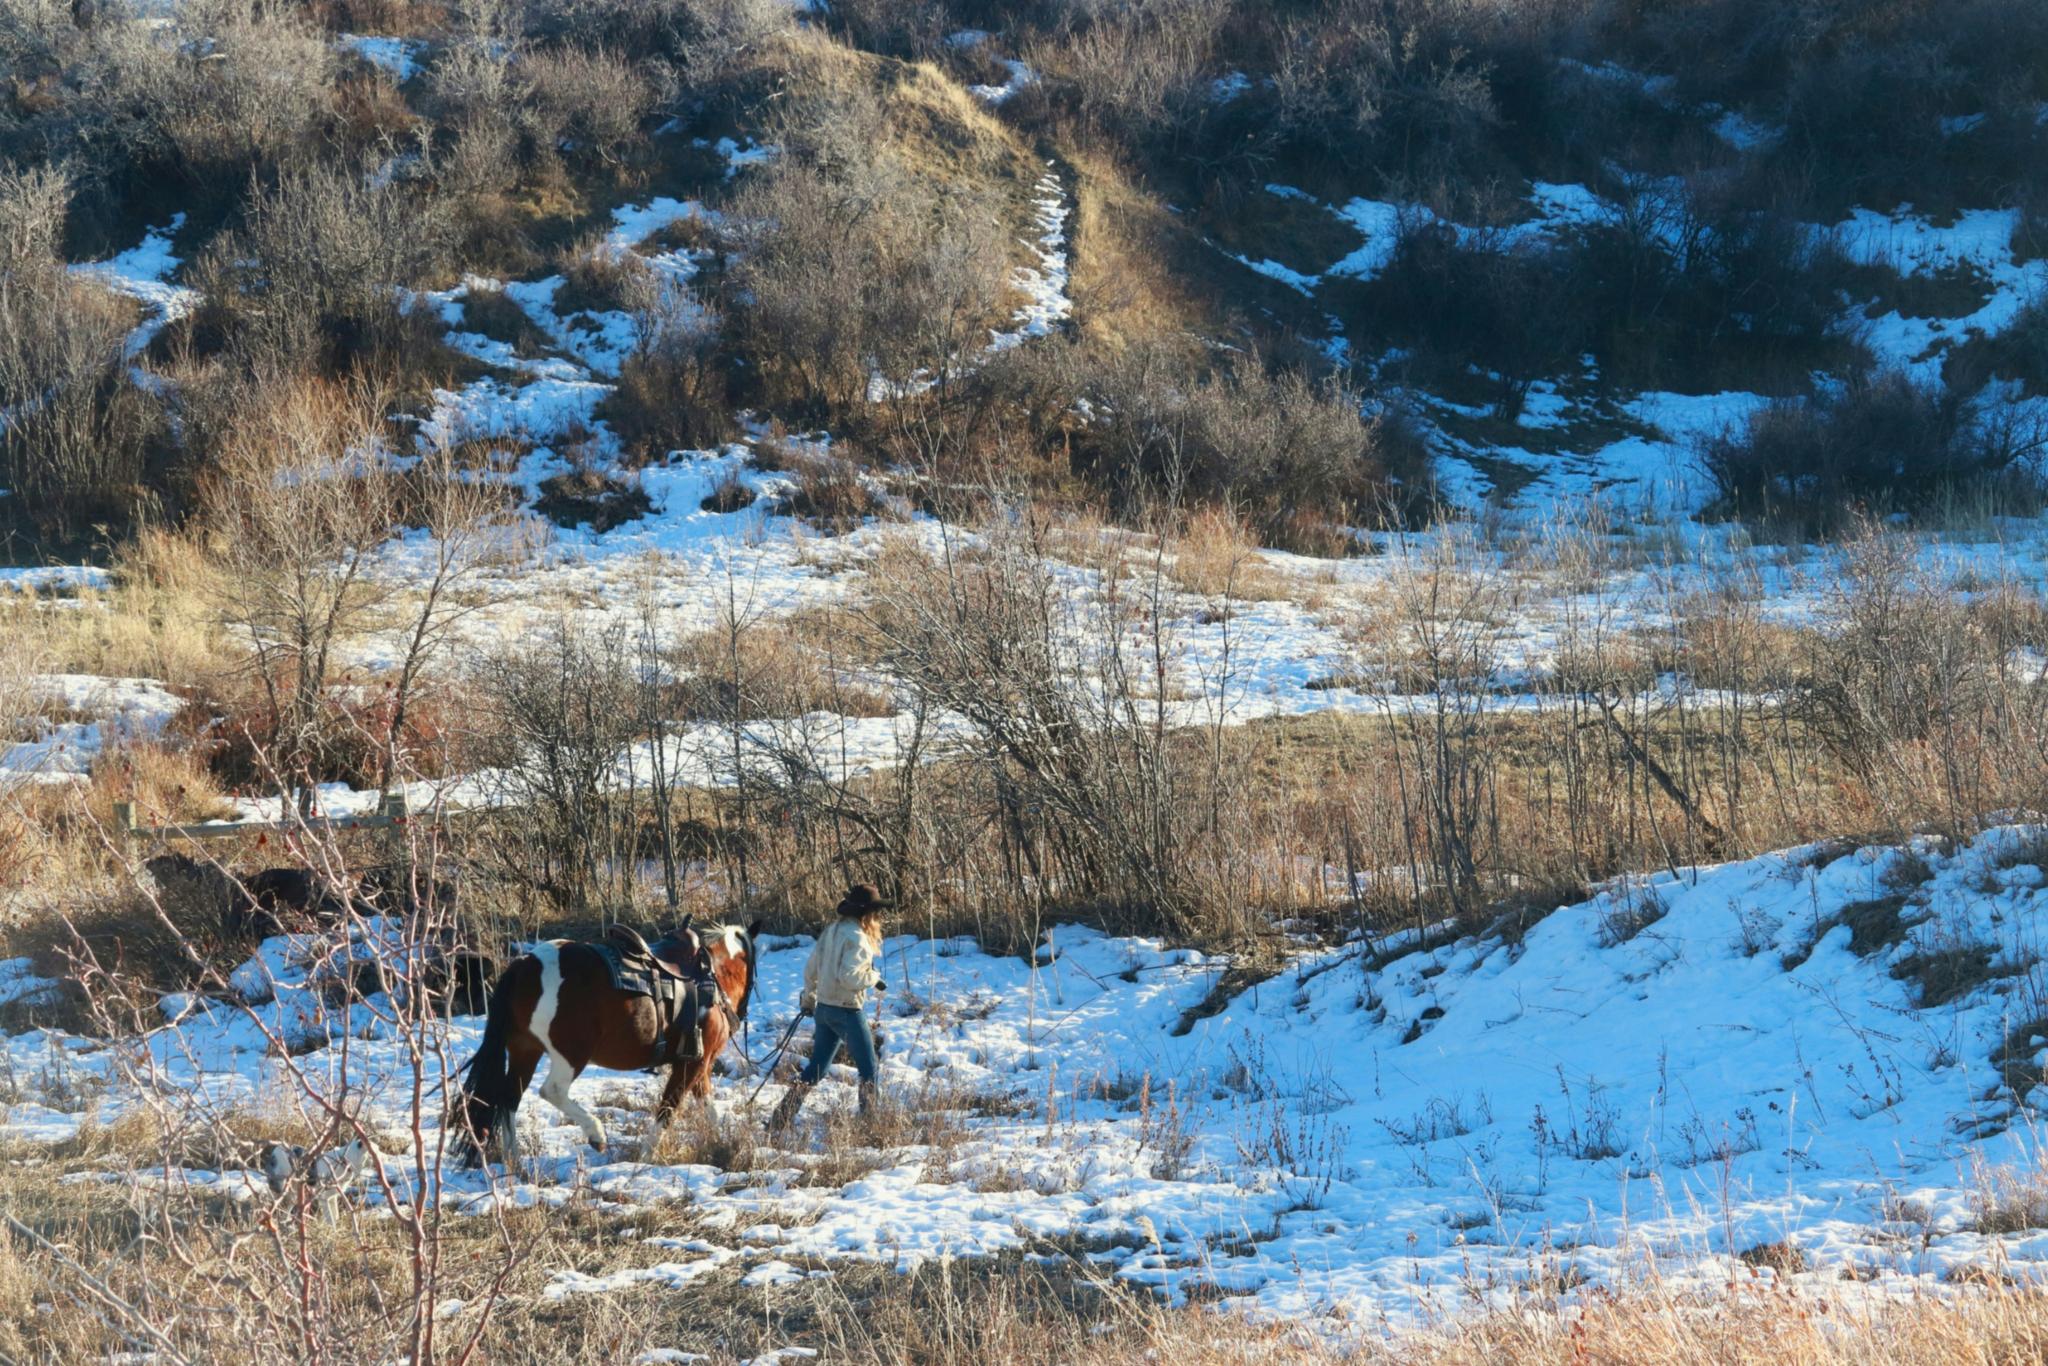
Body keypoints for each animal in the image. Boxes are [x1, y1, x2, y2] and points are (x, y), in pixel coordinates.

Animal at [454, 920, 762, 1167]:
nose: (742, 1013)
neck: (712, 977)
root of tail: (523, 966)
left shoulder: (699, 1064)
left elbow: (708, 1107)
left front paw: (718, 1142)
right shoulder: (692, 1064)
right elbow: (667, 1110)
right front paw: (646, 1157)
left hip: (525, 1051)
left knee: (509, 1099)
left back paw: (513, 1160)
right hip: (571, 1054)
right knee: (552, 1090)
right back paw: (596, 1134)